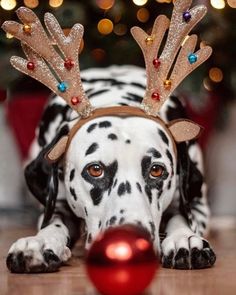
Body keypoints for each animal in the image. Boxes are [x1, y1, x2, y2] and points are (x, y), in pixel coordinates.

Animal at [5, 65, 216, 272]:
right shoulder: (57, 205)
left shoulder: (196, 208)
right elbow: (52, 224)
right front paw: (40, 242)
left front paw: (184, 238)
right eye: (95, 170)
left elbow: (181, 217)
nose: (129, 237)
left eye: (156, 170)